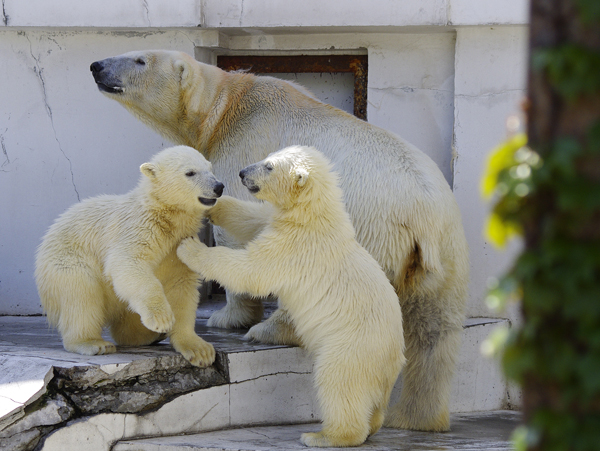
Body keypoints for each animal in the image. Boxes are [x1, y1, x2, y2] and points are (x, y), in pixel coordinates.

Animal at [91, 50, 472, 434]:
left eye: (139, 60)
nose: (96, 66)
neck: (223, 110)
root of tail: (424, 217)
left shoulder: (244, 146)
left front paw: (228, 318)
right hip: (447, 253)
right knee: (435, 330)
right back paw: (417, 418)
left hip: (369, 228)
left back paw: (269, 330)